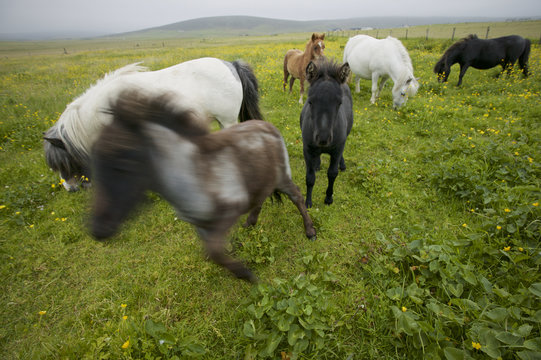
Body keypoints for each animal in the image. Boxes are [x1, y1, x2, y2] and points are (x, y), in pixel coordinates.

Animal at [90, 89, 314, 282]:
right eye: (94, 161)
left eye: (125, 162)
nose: (99, 229)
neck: (195, 176)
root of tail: (269, 126)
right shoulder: (199, 223)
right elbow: (214, 251)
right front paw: (236, 259)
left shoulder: (230, 210)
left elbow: (214, 251)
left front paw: (247, 275)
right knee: (261, 197)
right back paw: (250, 223)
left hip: (282, 178)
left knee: (296, 196)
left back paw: (310, 231)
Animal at [298, 59, 352, 208]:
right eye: (310, 101)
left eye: (339, 103)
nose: (323, 138)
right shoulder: (307, 149)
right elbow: (310, 177)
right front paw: (308, 202)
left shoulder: (337, 148)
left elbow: (332, 173)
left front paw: (328, 198)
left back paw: (342, 165)